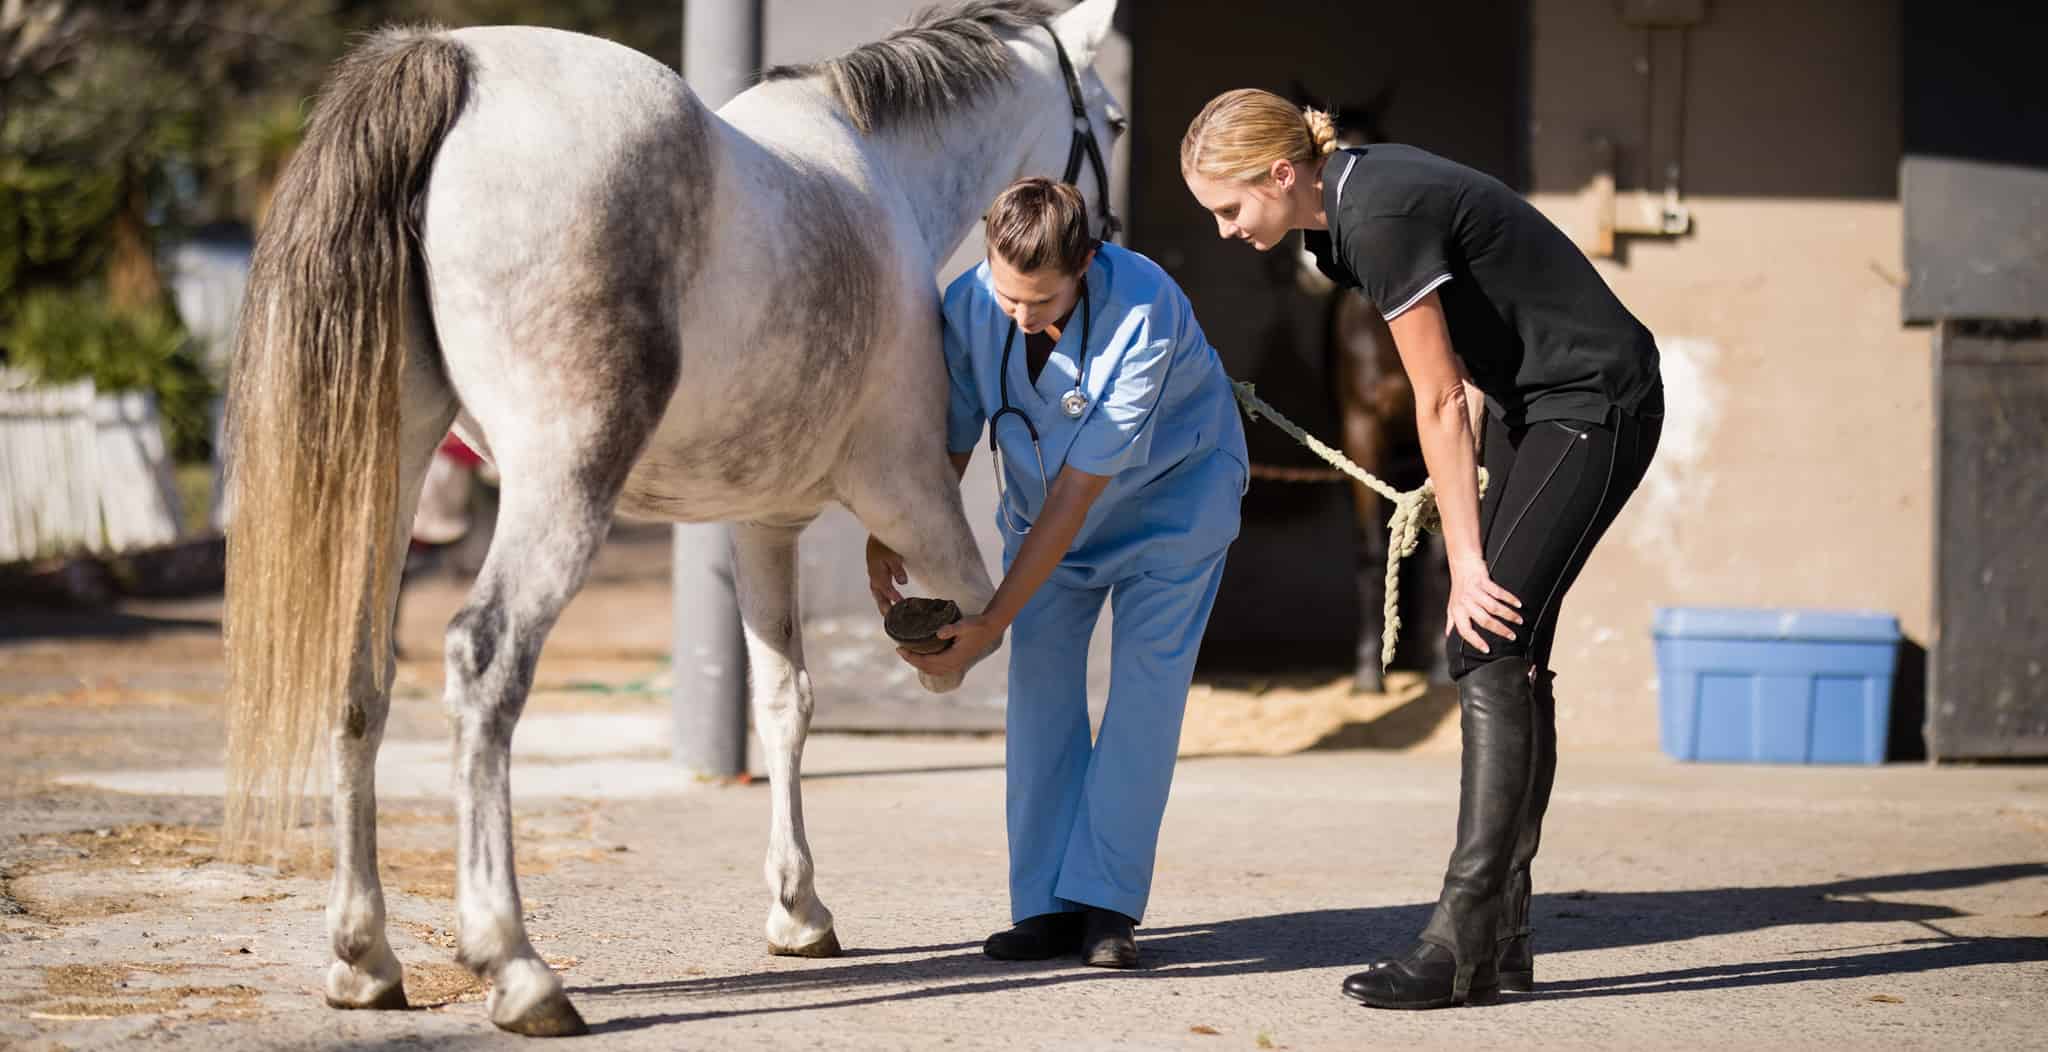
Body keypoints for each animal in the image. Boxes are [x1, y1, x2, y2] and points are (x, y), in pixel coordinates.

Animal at [221, 0, 1124, 1035]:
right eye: (1113, 120)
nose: (1110, 238)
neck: (879, 172)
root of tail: (450, 62)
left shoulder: (763, 523)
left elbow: (784, 702)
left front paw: (799, 911)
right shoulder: (911, 497)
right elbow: (998, 633)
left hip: (391, 472)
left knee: (359, 679)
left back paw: (364, 958)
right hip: (561, 482)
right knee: (484, 663)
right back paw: (517, 967)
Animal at [1289, 83, 1453, 693]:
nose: (1309, 269)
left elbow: (1440, 551)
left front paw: (1437, 668)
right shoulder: (1360, 434)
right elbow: (1365, 549)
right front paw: (1366, 672)